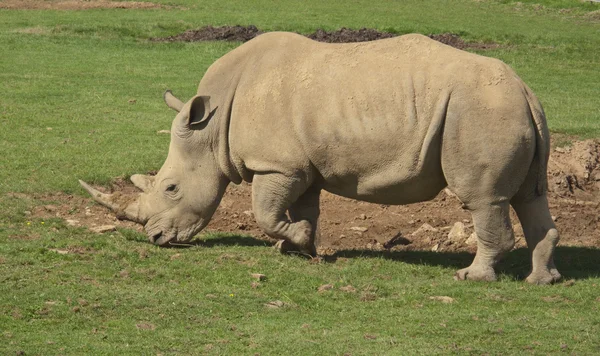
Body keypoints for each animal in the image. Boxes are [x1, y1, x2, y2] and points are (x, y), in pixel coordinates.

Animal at [77, 32, 560, 284]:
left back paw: (471, 278)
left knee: (482, 199)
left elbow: (264, 211)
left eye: (171, 187)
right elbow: (302, 207)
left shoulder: (276, 163)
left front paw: (294, 240)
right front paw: (300, 245)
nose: (156, 239)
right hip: (503, 110)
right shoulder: (300, 166)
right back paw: (542, 281)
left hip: (477, 111)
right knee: (529, 197)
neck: (211, 130)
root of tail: (527, 90)